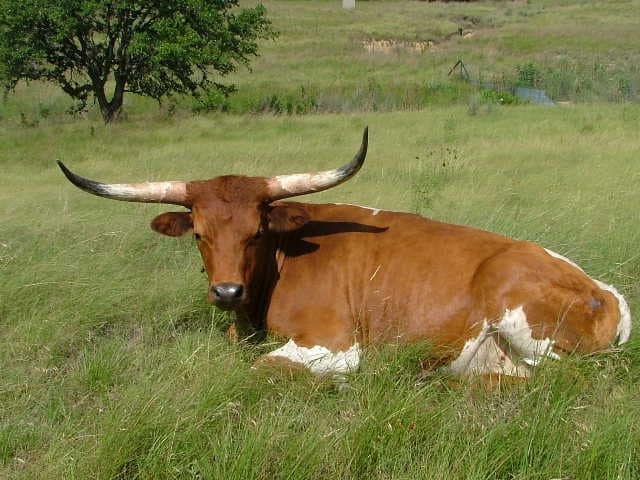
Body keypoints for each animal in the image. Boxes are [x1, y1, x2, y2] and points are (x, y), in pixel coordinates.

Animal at [58, 128, 632, 378]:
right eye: (198, 233)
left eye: (257, 231)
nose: (226, 291)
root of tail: (606, 292)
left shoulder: (333, 343)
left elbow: (265, 367)